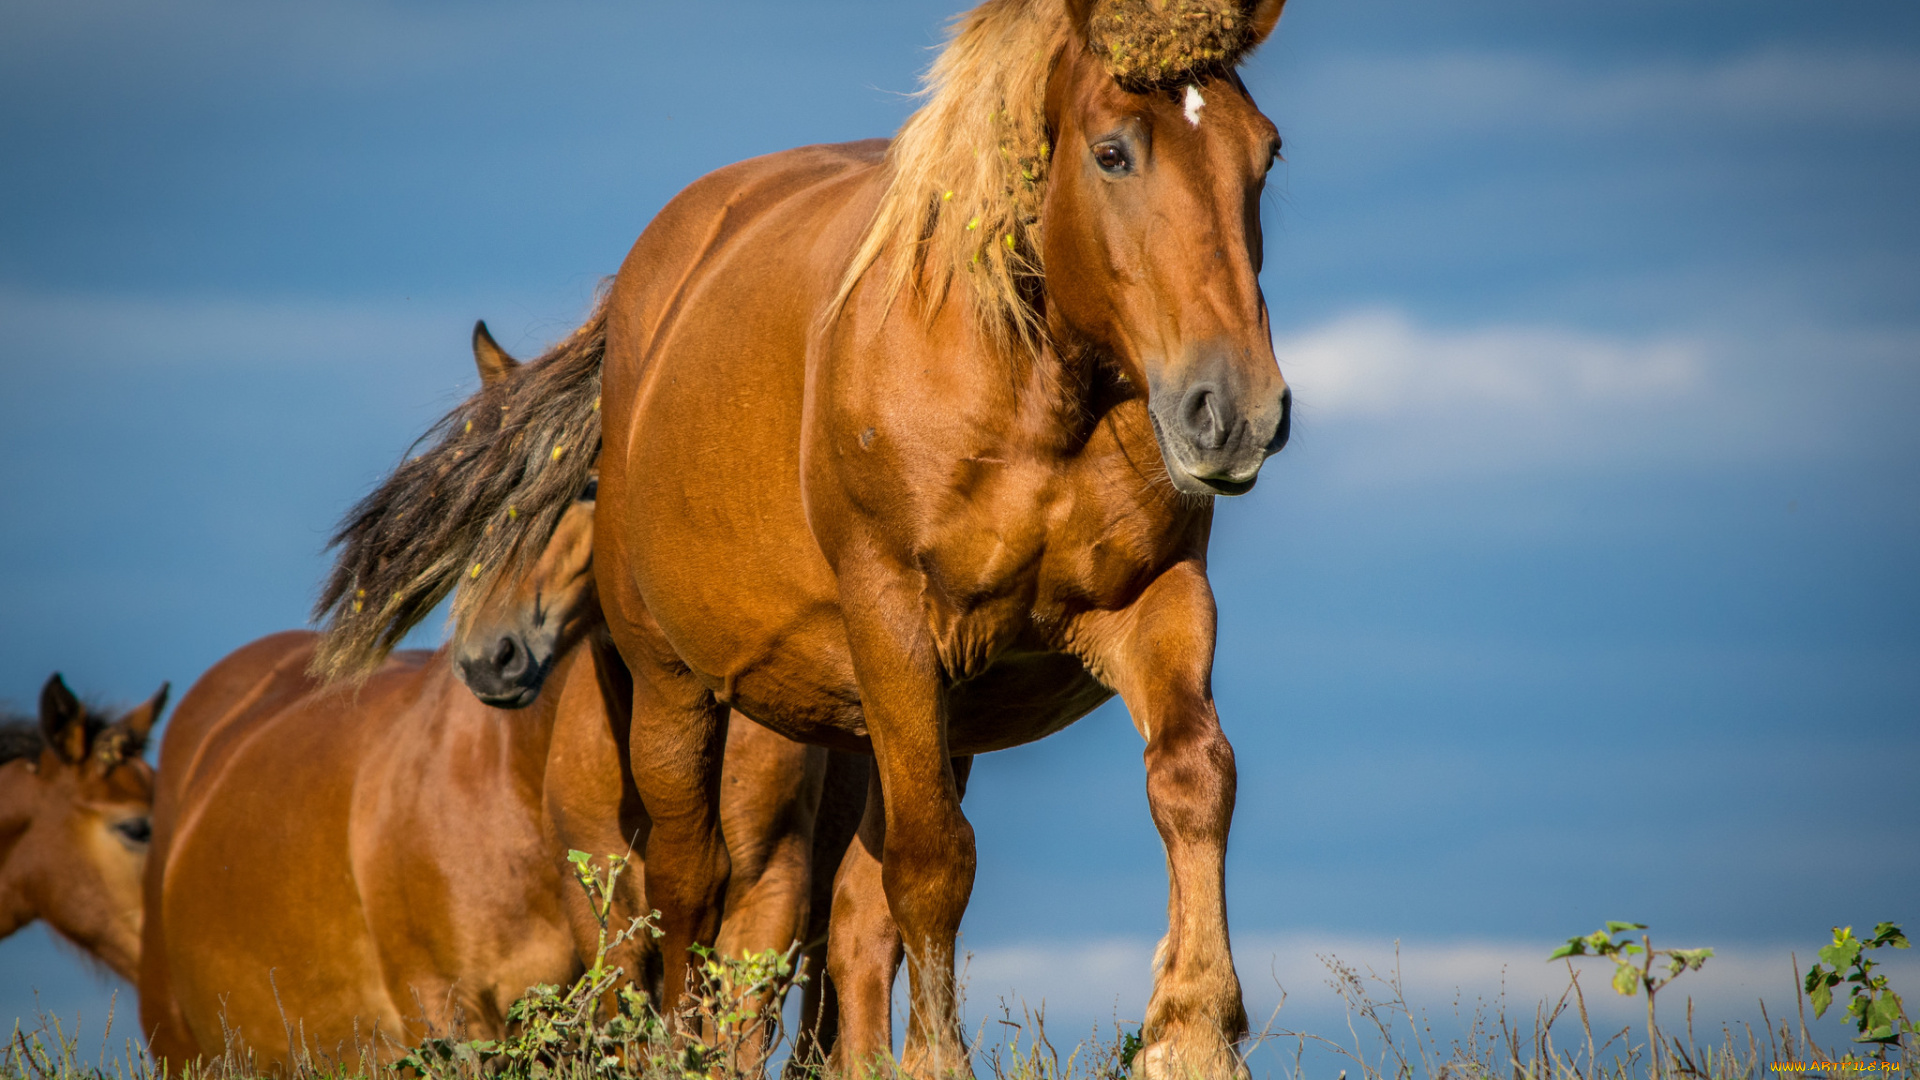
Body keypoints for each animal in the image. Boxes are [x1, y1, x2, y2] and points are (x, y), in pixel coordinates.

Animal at [318, 4, 1290, 1068]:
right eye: (1114, 153)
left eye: (1265, 154)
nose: (1235, 412)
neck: (1028, 393)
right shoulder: (895, 625)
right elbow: (931, 862)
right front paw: (938, 1061)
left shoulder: (1156, 600)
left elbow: (1193, 777)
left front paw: (1192, 1034)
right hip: (677, 691)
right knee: (689, 884)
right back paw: (686, 1051)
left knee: (852, 916)